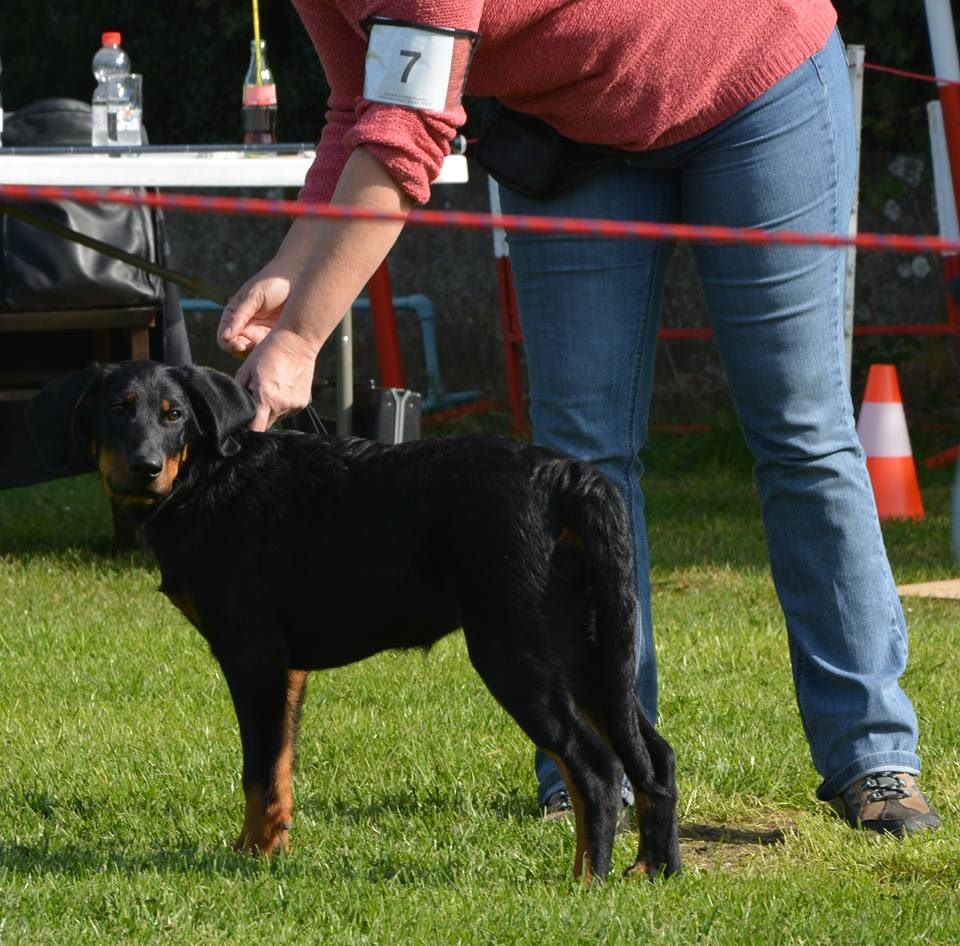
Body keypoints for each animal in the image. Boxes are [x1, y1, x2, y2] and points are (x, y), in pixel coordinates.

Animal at [26, 360, 680, 876]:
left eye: (174, 415)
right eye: (117, 410)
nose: (144, 466)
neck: (208, 477)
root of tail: (569, 477)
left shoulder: (253, 658)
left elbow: (257, 768)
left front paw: (255, 858)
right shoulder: (286, 671)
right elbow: (277, 771)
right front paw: (261, 850)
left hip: (516, 652)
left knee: (596, 768)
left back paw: (586, 880)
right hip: (592, 652)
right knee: (653, 756)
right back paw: (653, 870)